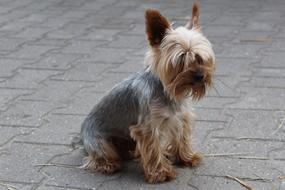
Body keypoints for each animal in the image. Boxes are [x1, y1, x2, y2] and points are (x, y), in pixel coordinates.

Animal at [79, 1, 214, 183]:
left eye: (199, 58)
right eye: (180, 61)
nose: (200, 76)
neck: (169, 91)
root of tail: (82, 136)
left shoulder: (181, 118)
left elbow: (182, 138)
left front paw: (186, 158)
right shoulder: (148, 128)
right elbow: (153, 150)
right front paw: (161, 173)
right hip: (101, 143)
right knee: (99, 156)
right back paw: (108, 164)